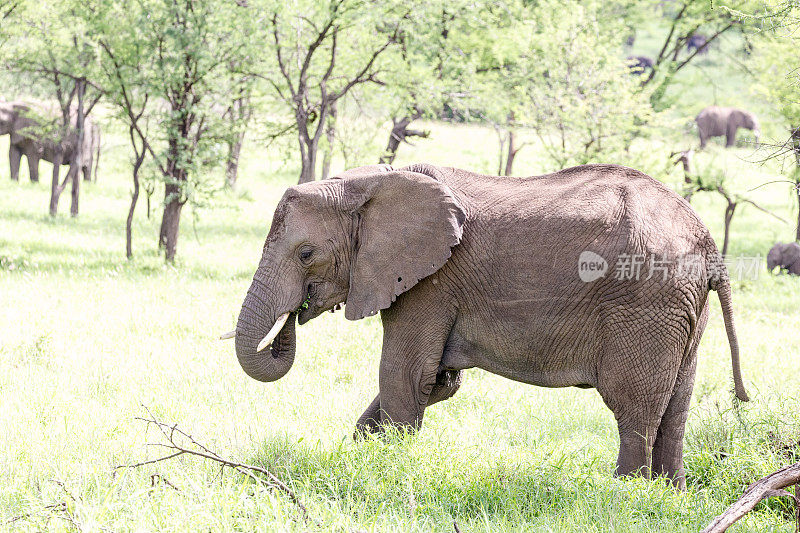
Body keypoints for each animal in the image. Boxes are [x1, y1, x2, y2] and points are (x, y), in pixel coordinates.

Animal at [225, 163, 752, 490]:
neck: (369, 182)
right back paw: (667, 495)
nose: (294, 314)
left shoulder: (430, 282)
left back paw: (624, 494)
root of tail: (706, 239)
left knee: (635, 406)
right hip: (680, 308)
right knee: (676, 405)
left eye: (305, 254)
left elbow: (403, 376)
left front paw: (386, 471)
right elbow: (429, 382)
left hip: (646, 301)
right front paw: (365, 451)